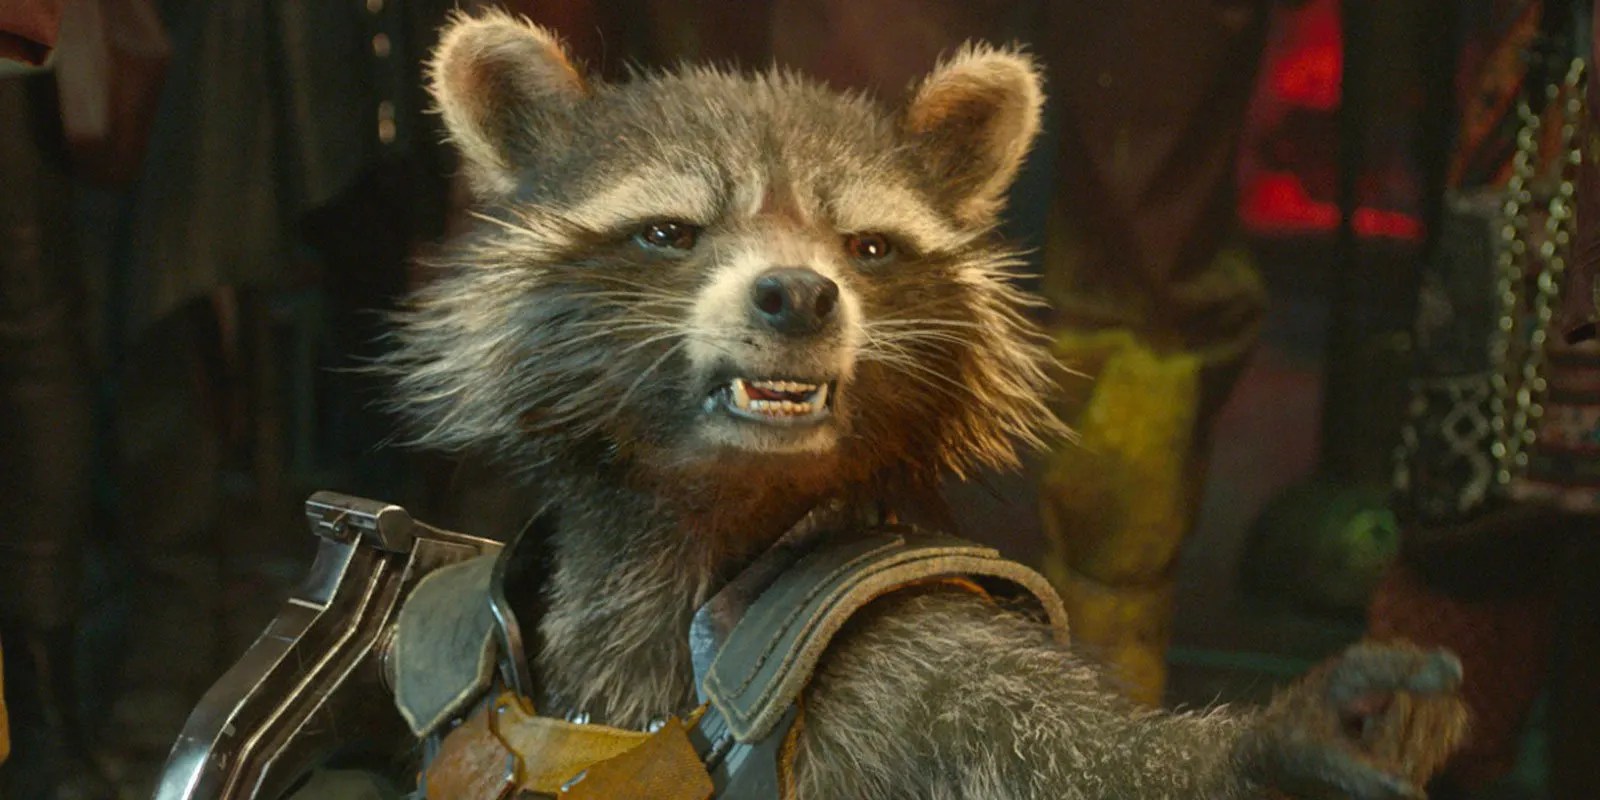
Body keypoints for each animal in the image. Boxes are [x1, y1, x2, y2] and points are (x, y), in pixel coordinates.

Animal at [382, 11, 1467, 798]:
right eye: (670, 232)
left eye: (866, 247)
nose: (798, 295)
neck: (715, 509)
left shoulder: (914, 652)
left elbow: (1092, 764)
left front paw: (1271, 746)